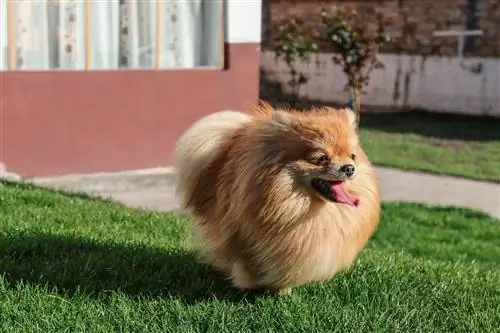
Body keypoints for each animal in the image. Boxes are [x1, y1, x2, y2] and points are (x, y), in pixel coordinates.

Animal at [174, 101, 380, 294]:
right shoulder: (242, 234)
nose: (349, 168)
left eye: (352, 156)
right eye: (322, 158)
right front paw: (253, 285)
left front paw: (283, 290)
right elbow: (247, 261)